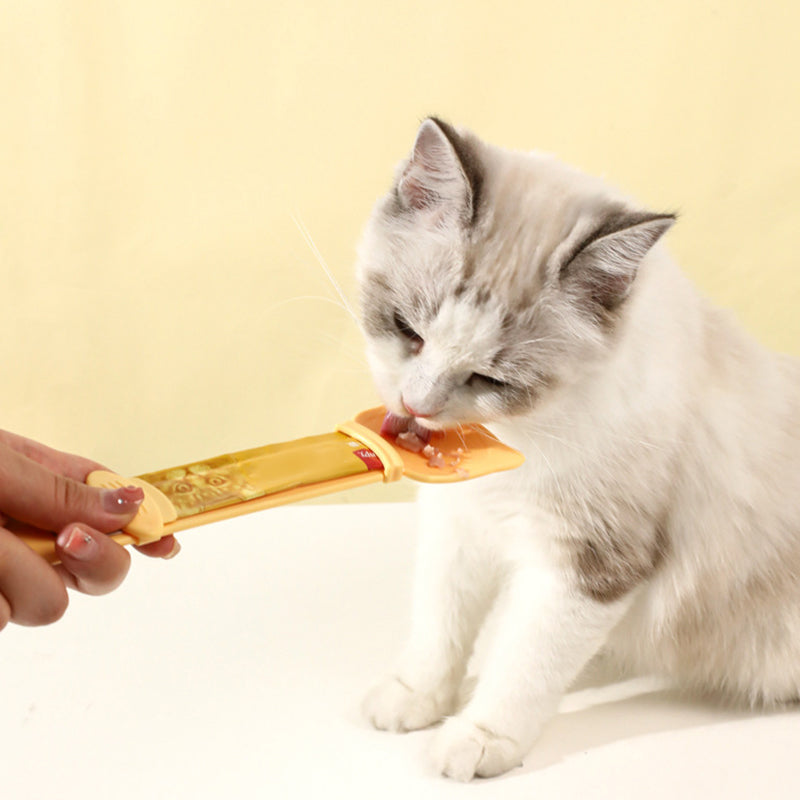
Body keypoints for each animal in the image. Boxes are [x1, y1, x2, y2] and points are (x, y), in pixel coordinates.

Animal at [354, 119, 800, 780]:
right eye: (408, 331)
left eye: (490, 379)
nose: (418, 405)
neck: (519, 435)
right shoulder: (461, 523)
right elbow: (440, 626)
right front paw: (416, 699)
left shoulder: (589, 563)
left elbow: (525, 664)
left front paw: (477, 740)